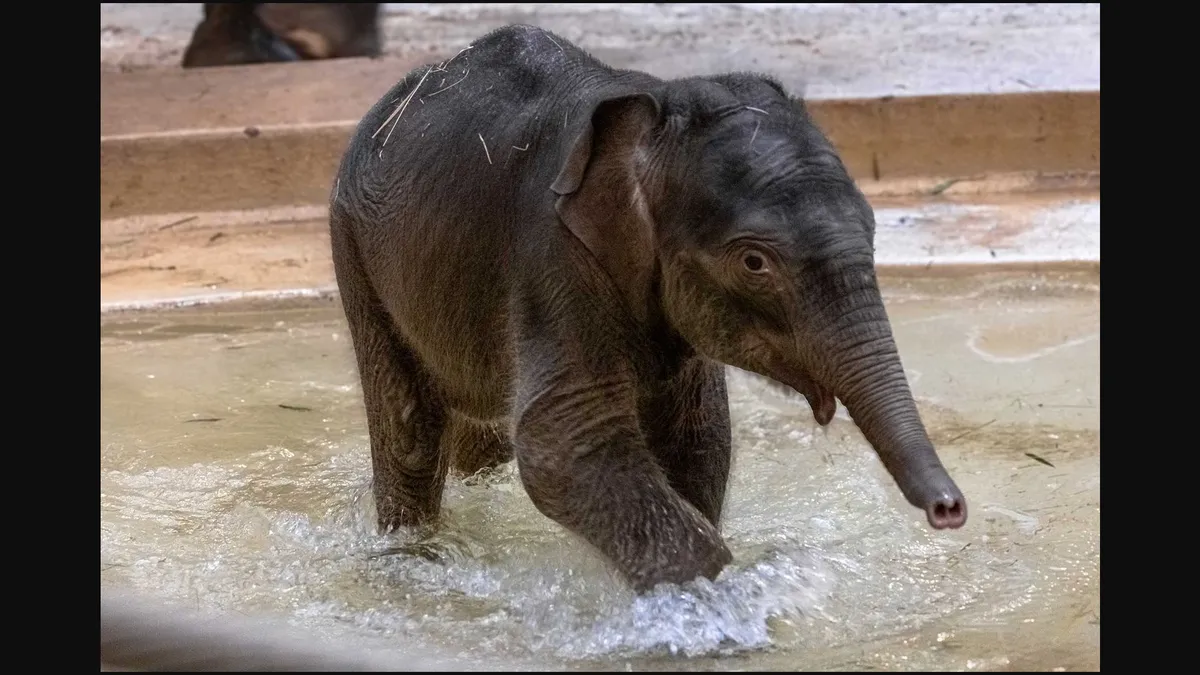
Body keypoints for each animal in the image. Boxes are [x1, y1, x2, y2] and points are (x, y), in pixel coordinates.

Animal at [329, 24, 967, 592]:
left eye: (873, 230)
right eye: (754, 263)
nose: (949, 510)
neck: (653, 107)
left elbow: (700, 435)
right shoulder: (552, 256)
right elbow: (561, 443)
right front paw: (713, 605)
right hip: (354, 247)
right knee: (409, 429)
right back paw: (412, 558)